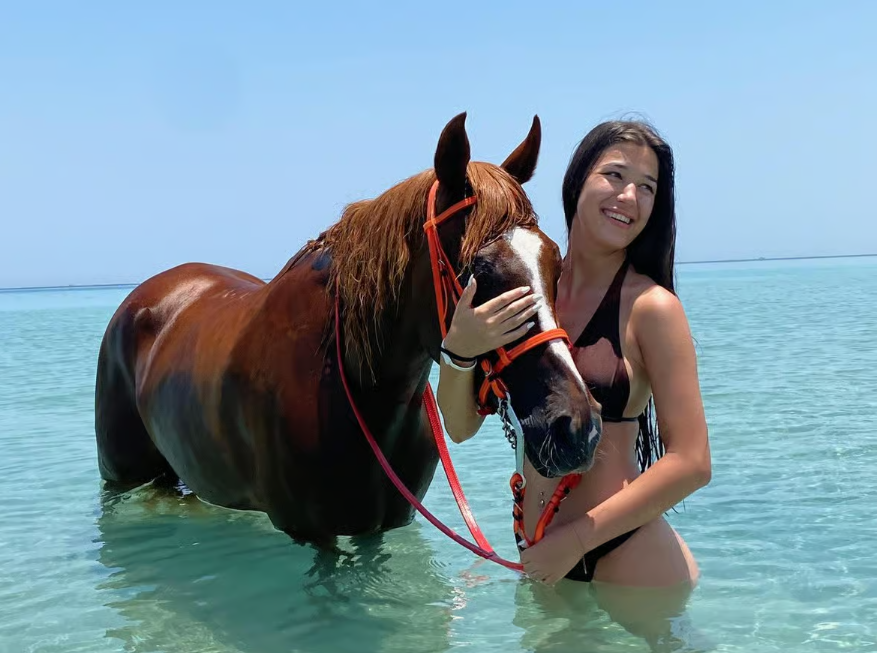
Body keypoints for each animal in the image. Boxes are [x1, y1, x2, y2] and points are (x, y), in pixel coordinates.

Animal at [94, 112, 603, 550]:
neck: (357, 391)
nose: (578, 427)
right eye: (481, 269)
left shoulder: (383, 524)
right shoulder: (311, 533)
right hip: (119, 476)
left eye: (555, 262)